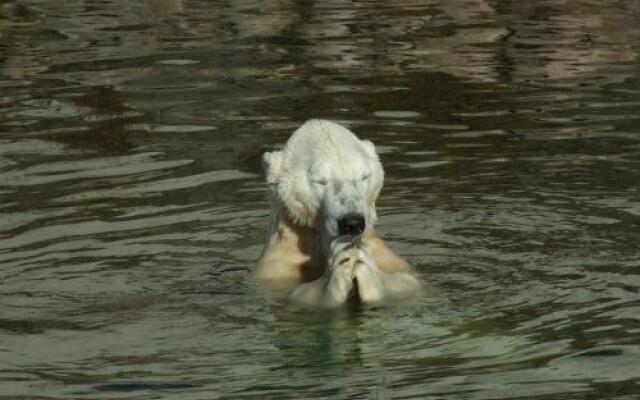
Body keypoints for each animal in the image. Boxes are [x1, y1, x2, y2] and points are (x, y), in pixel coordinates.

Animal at [252, 119, 422, 306]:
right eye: (320, 181)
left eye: (363, 176)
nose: (352, 223)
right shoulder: (276, 267)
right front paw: (338, 268)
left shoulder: (388, 258)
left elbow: (409, 281)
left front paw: (368, 269)